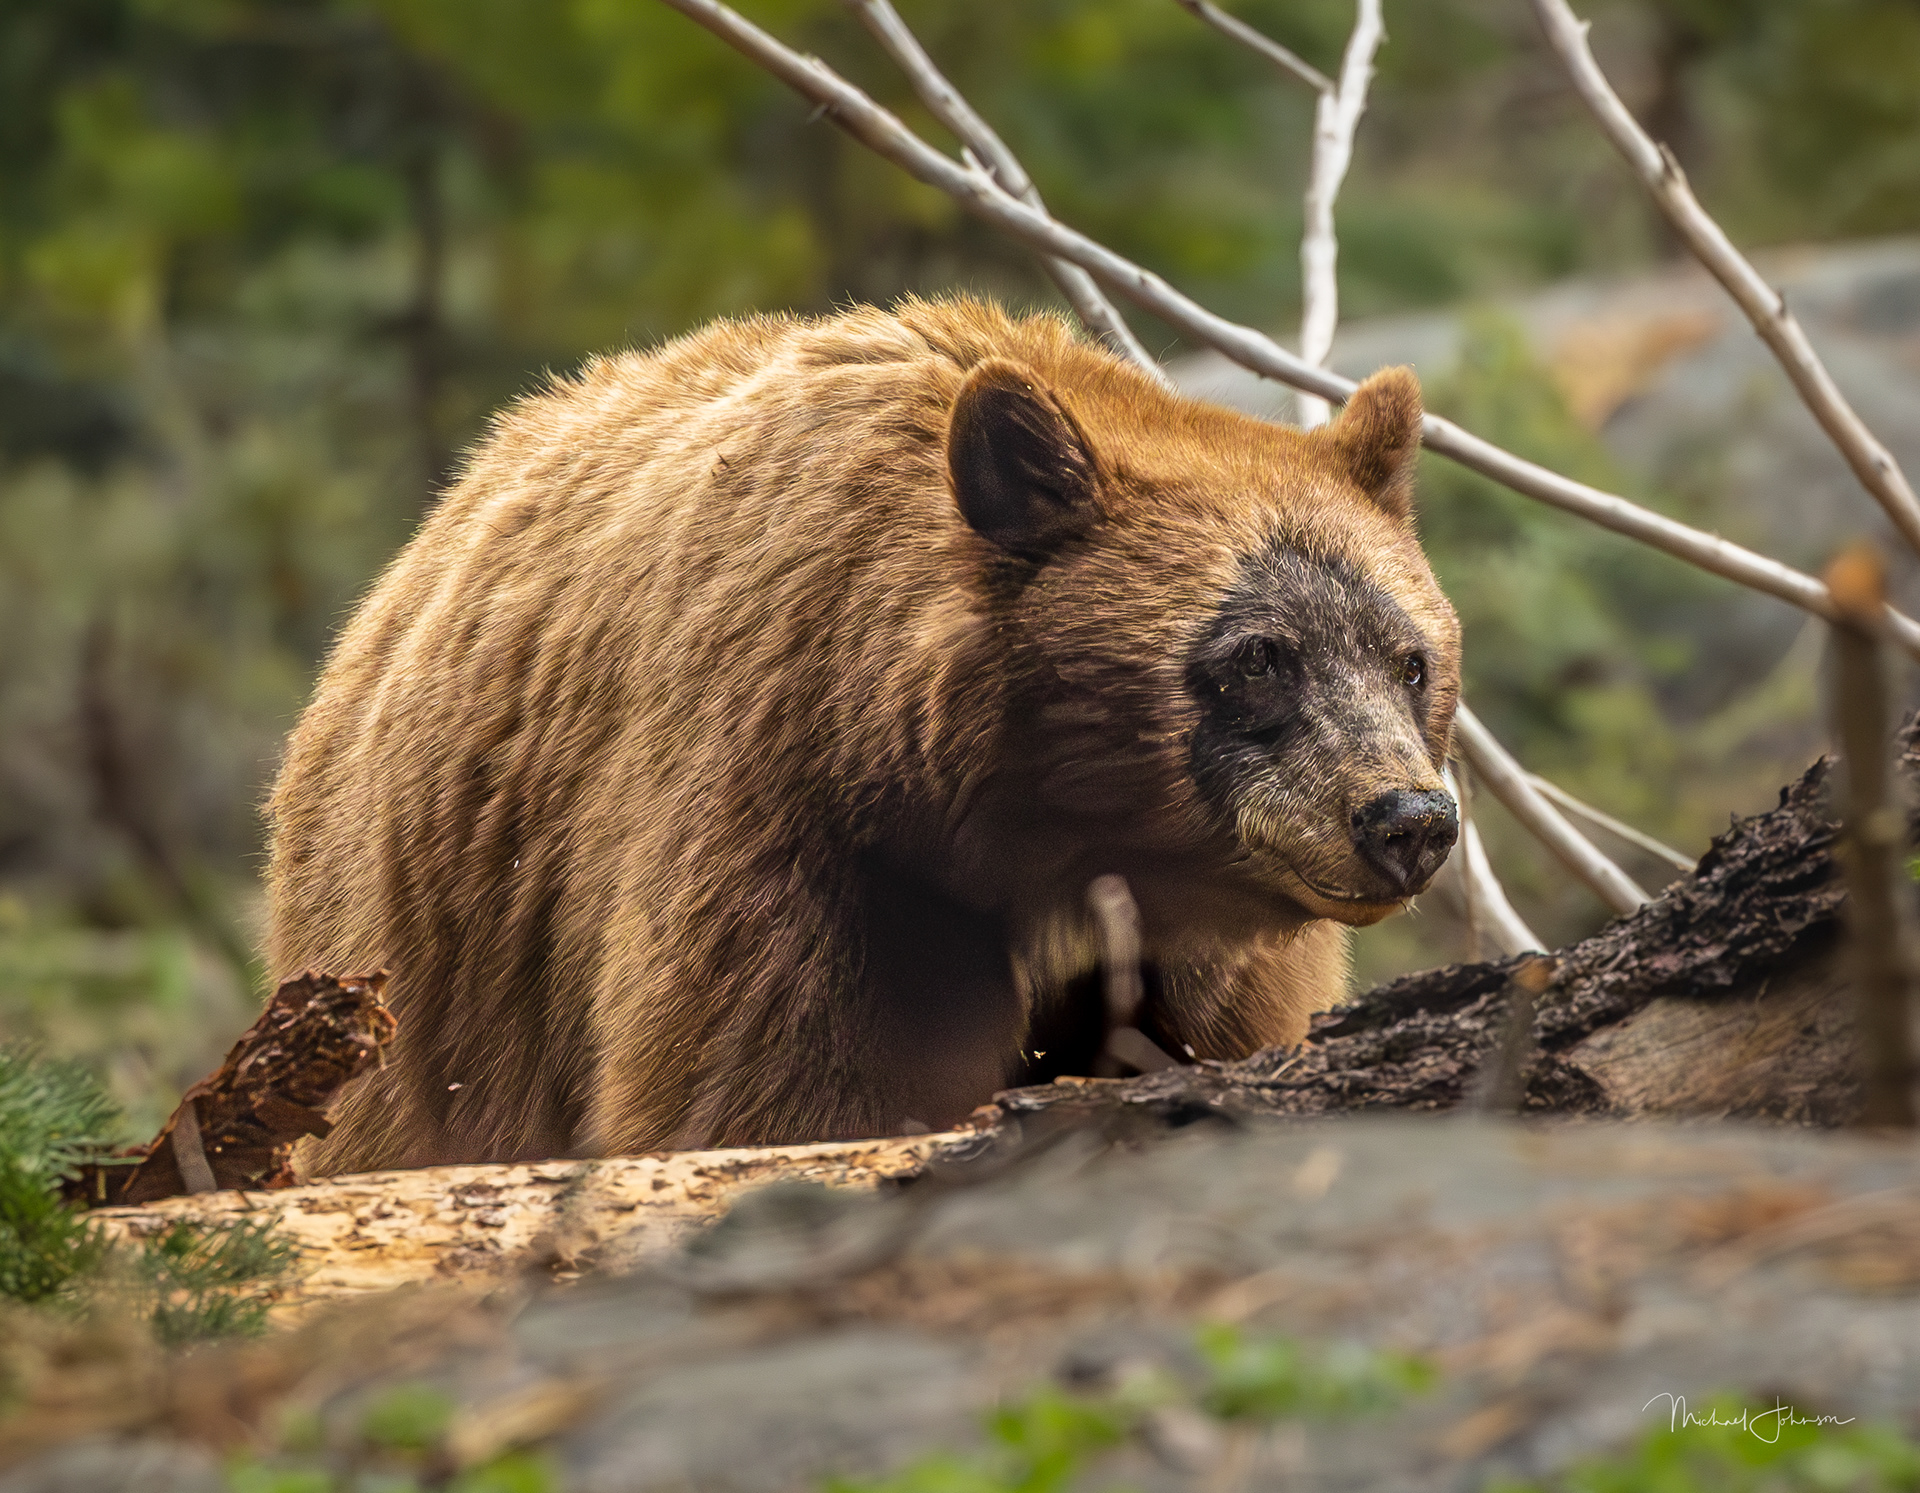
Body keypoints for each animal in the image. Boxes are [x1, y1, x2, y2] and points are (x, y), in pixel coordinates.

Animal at [265, 297, 1461, 1174]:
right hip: (432, 950)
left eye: (1410, 660)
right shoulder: (799, 825)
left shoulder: (1200, 952)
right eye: (1259, 656)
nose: (1407, 817)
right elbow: (775, 1094)